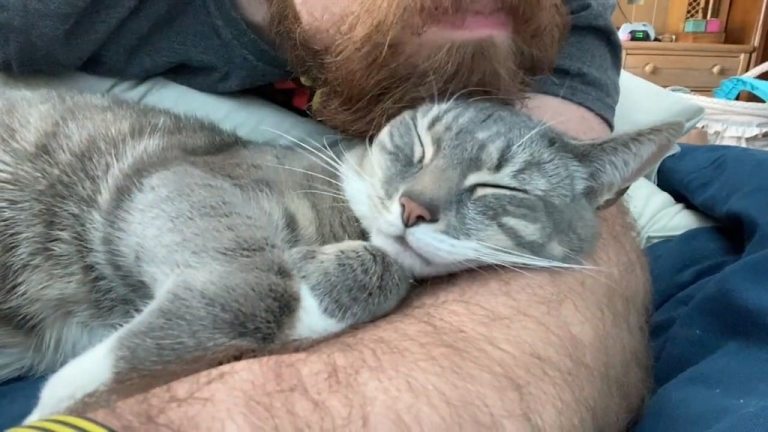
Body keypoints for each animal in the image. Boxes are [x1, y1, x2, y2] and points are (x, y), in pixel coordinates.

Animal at [0, 86, 684, 420]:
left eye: (500, 187)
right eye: (417, 142)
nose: (412, 208)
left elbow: (376, 269)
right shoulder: (185, 177)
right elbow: (258, 282)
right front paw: (76, 389)